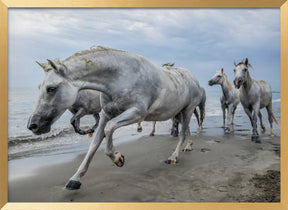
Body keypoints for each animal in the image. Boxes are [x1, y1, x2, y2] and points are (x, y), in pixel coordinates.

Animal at [27, 46, 202, 190]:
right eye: (39, 87)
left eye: (51, 88)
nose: (33, 125)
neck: (121, 77)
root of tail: (193, 78)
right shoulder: (106, 114)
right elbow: (95, 143)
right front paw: (75, 179)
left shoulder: (136, 113)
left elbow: (109, 128)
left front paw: (118, 158)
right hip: (179, 112)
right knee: (186, 131)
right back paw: (189, 146)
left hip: (188, 110)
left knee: (182, 134)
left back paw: (173, 157)